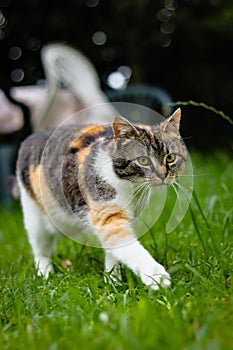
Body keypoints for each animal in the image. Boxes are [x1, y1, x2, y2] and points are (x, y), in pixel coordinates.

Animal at [16, 108, 187, 290]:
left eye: (170, 157)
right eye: (143, 160)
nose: (163, 175)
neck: (132, 187)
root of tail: (33, 137)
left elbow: (114, 250)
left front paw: (113, 281)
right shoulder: (107, 213)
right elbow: (131, 248)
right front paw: (155, 275)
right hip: (35, 216)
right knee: (40, 249)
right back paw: (45, 275)